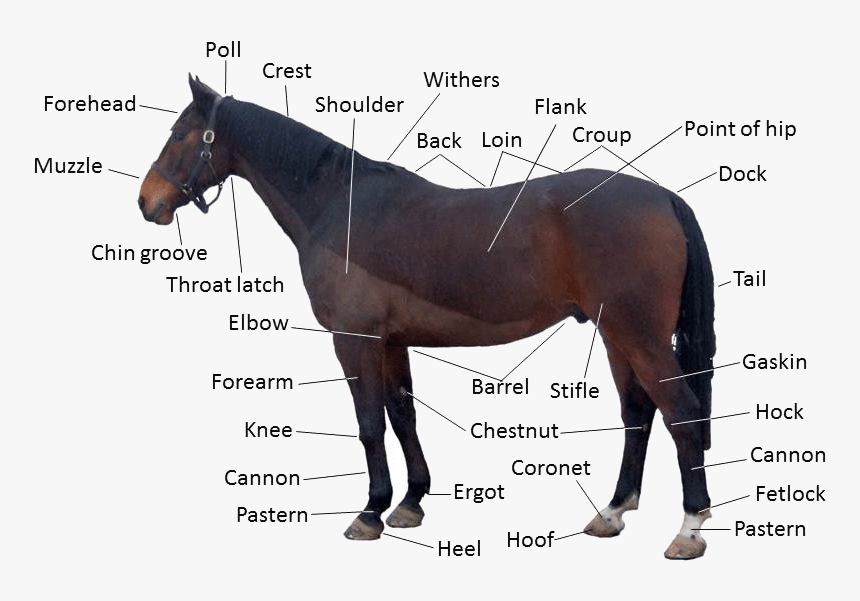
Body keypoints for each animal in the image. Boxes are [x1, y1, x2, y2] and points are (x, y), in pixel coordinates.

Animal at [138, 76, 716, 560]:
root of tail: (662, 197)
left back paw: (688, 530)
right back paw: (612, 512)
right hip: (617, 335)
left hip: (638, 335)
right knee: (638, 414)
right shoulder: (392, 342)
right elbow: (402, 416)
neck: (340, 205)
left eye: (181, 135)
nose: (147, 202)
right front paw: (410, 502)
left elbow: (369, 422)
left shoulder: (354, 339)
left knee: (681, 413)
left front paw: (369, 512)